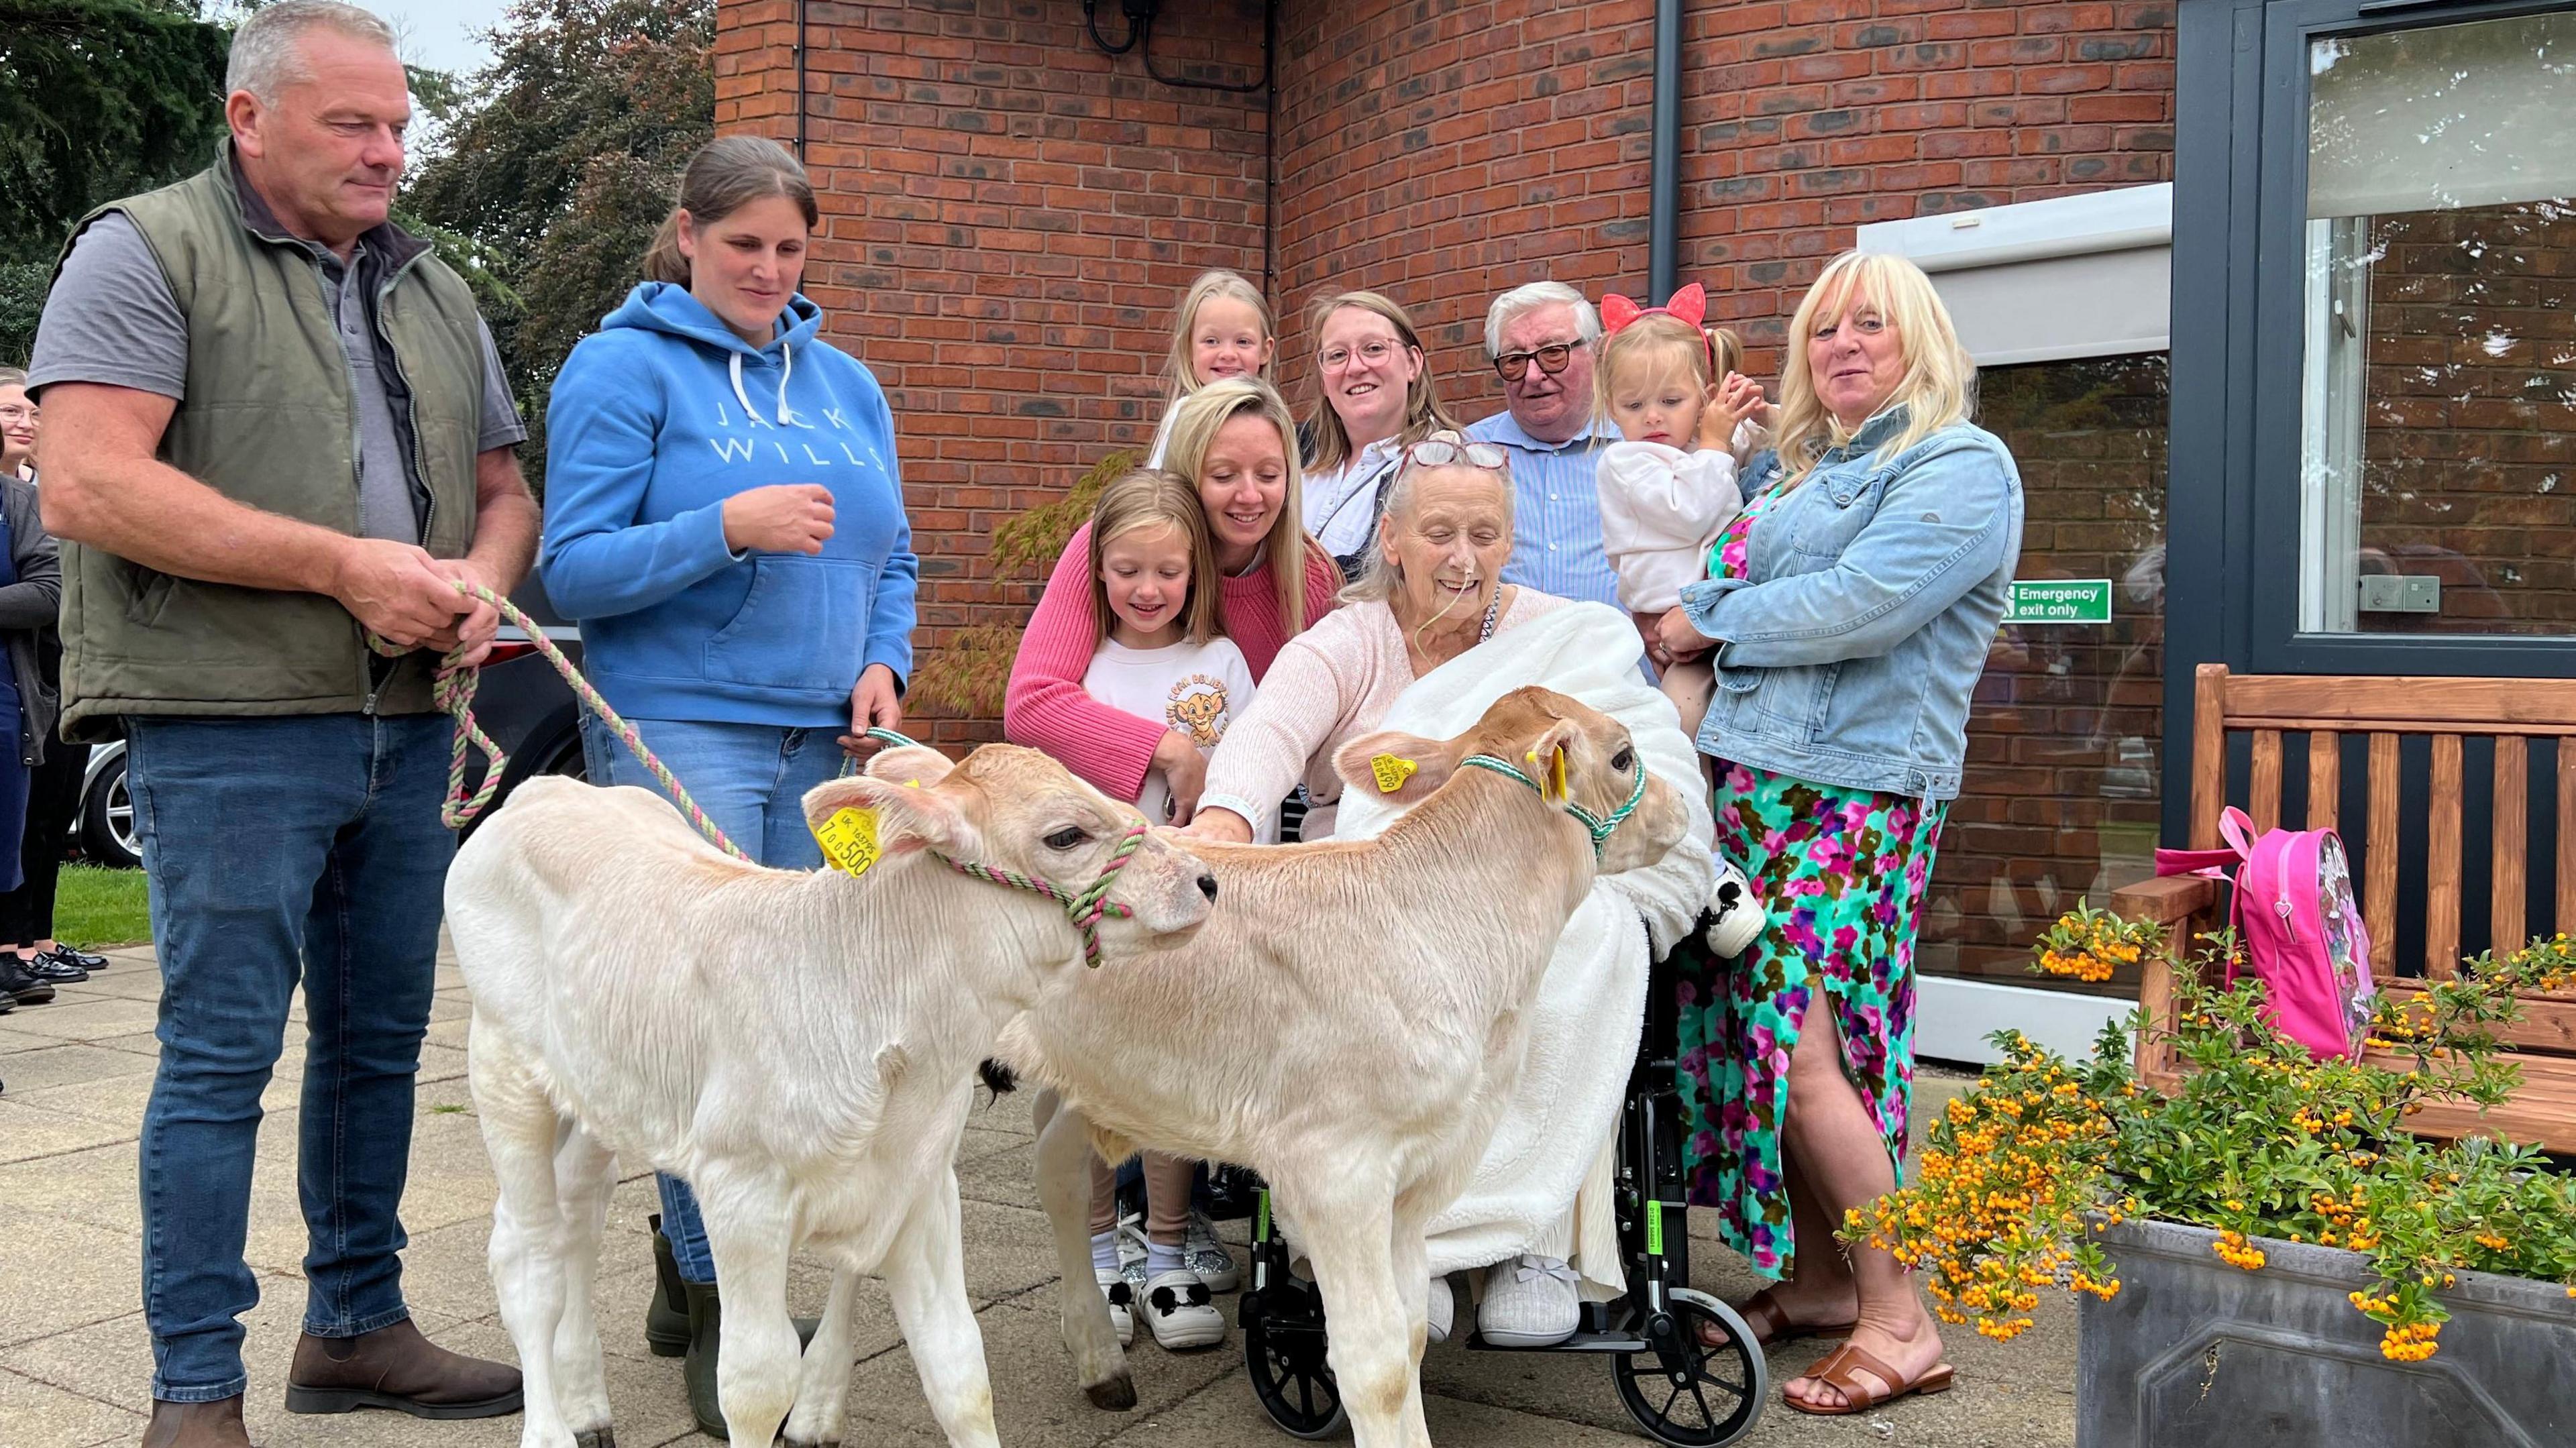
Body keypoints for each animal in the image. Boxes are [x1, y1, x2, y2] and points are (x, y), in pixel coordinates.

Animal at [451, 742, 1216, 1443]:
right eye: (1065, 835)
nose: (1206, 878)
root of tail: (544, 790)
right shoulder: (741, 1194)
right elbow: (756, 1382)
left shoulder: (921, 1187)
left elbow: (959, 1369)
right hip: (503, 1067)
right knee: (529, 1258)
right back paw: (551, 1423)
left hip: (597, 1092)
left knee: (577, 1218)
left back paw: (587, 1405)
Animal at [999, 685, 1690, 1443]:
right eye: (1623, 754)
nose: (1684, 805)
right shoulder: (1334, 1168)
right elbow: (1374, 1361)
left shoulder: (1424, 1170)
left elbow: (1411, 1330)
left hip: (1098, 1072)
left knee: (1057, 1169)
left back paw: (1101, 1362)